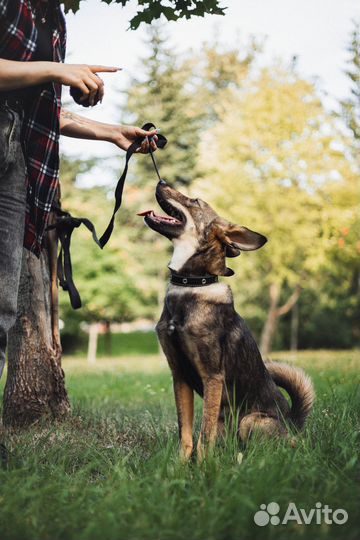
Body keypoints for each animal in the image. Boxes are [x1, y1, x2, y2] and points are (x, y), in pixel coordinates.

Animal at [138, 181, 316, 460]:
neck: (192, 284)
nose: (161, 182)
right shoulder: (179, 375)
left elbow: (204, 432)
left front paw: (202, 466)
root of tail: (292, 423)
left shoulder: (213, 376)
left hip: (249, 421)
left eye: (195, 200)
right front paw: (180, 465)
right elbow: (186, 433)